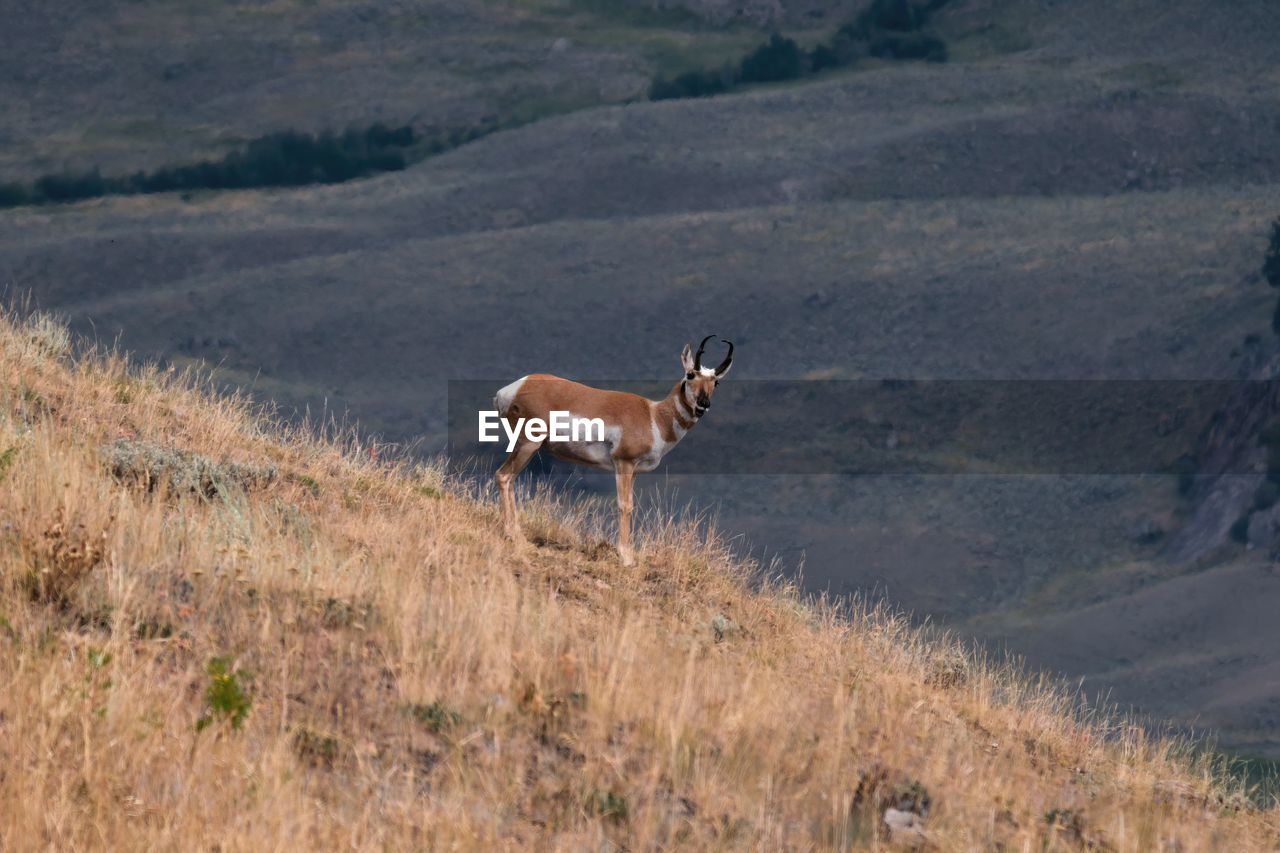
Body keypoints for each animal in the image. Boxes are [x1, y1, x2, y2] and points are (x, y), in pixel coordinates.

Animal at [491, 333, 737, 563]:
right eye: (690, 375)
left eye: (716, 382)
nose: (703, 404)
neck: (654, 416)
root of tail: (516, 387)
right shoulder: (623, 463)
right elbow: (624, 505)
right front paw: (626, 557)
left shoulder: (634, 470)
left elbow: (631, 505)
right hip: (528, 445)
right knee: (503, 476)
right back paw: (512, 534)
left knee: (510, 479)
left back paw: (518, 534)